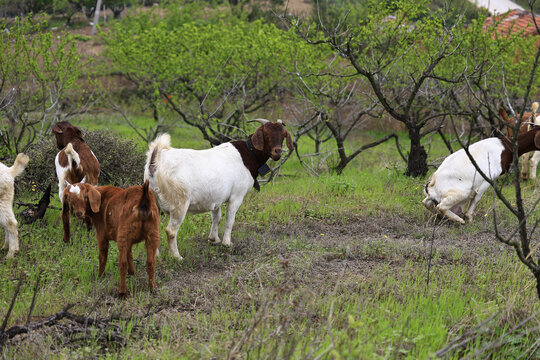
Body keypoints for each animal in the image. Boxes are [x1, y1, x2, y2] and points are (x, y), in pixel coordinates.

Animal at [143, 119, 294, 260]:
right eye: (266, 134)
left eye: (283, 135)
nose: (278, 152)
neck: (248, 155)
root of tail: (156, 161)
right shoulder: (237, 196)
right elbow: (229, 219)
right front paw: (227, 243)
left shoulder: (215, 198)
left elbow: (217, 217)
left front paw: (213, 239)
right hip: (179, 202)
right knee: (171, 231)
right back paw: (176, 257)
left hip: (153, 201)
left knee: (153, 228)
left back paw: (156, 255)